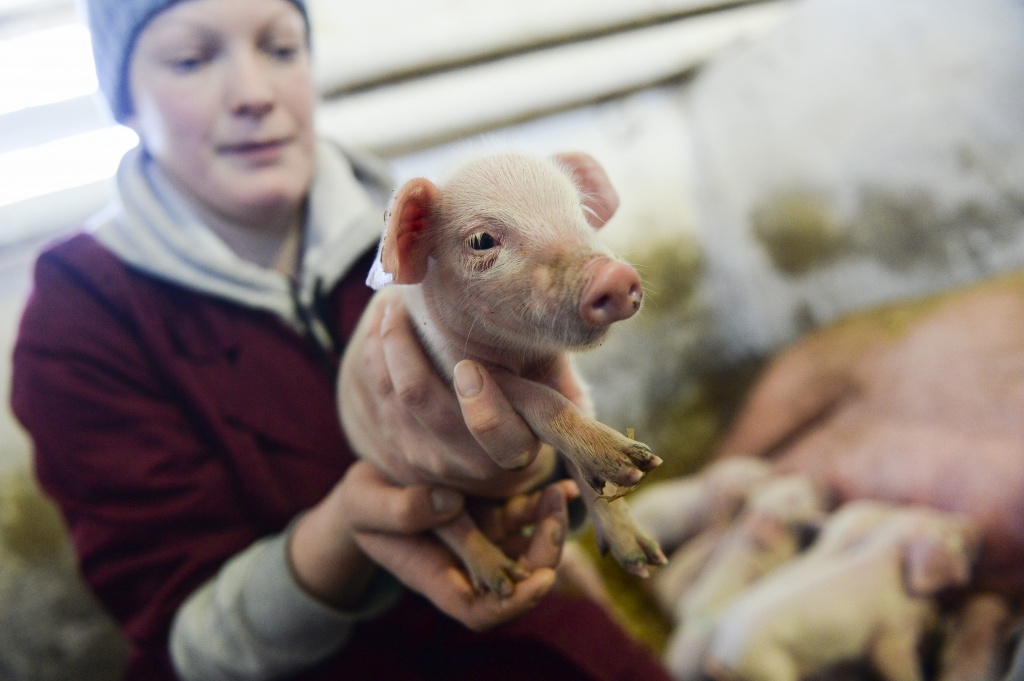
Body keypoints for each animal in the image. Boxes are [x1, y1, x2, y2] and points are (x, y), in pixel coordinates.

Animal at [352, 150, 667, 593]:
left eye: (582, 211)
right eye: (482, 240)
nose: (616, 276)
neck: (522, 356)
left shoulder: (564, 374)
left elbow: (574, 414)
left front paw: (645, 556)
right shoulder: (456, 368)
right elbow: (537, 398)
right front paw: (632, 464)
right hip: (402, 476)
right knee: (447, 520)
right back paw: (504, 582)